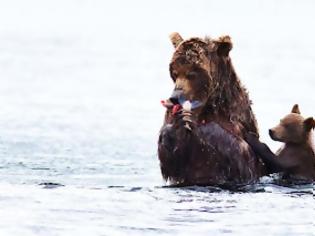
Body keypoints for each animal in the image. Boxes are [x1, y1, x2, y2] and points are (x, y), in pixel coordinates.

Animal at [158, 32, 266, 186]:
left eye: (192, 73)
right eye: (174, 72)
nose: (175, 98)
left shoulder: (239, 119)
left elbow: (245, 155)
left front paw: (202, 127)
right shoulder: (169, 113)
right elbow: (170, 161)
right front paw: (178, 125)